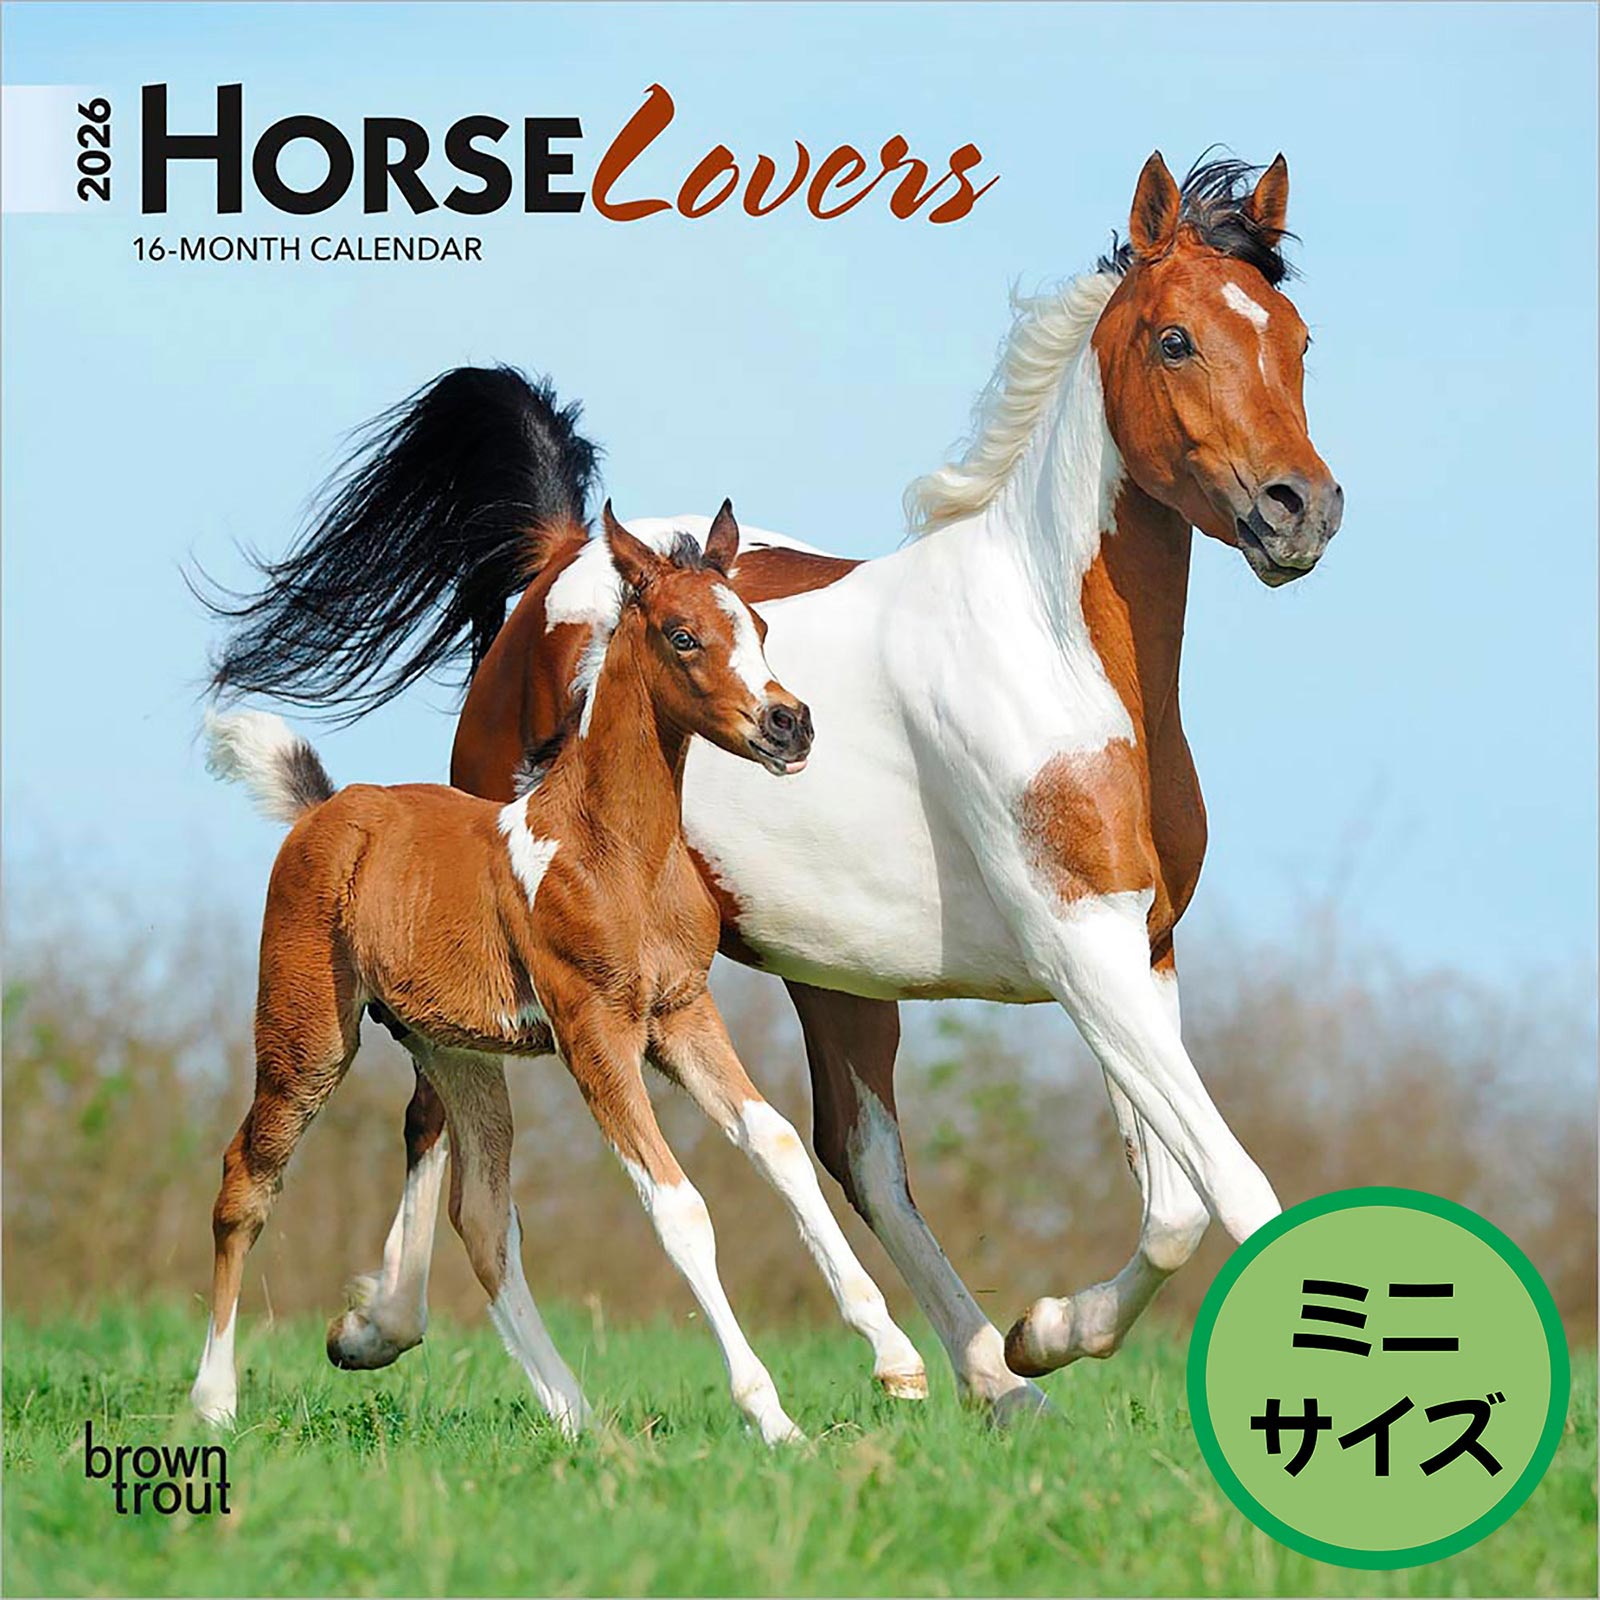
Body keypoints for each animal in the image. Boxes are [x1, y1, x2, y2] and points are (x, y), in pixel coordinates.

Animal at [191, 503, 926, 1442]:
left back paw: (578, 1417)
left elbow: (779, 1144)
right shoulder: (594, 1031)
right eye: (683, 635)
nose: (788, 725)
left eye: (758, 627)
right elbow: (678, 1207)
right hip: (308, 1032)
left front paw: (897, 1359)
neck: (612, 850)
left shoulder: (681, 1014)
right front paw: (773, 1419)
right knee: (246, 1178)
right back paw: (213, 1402)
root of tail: (326, 810)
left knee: (482, 1219)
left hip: (457, 1053)